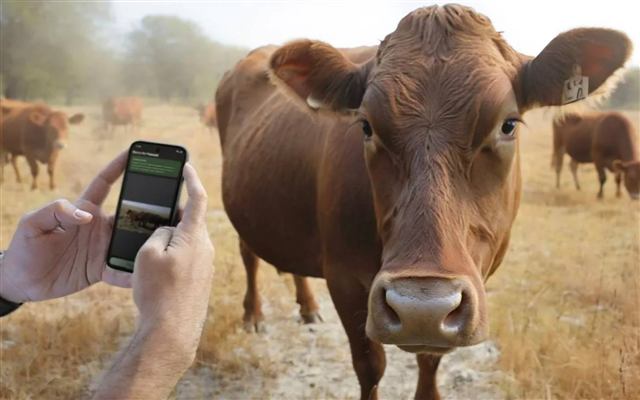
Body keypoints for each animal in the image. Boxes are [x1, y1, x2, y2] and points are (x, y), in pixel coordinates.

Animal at [215, 4, 631, 399]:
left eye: (508, 124)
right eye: (365, 126)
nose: (421, 309)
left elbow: (430, 362)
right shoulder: (344, 278)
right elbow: (369, 366)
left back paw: (308, 308)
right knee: (249, 254)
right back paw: (253, 315)